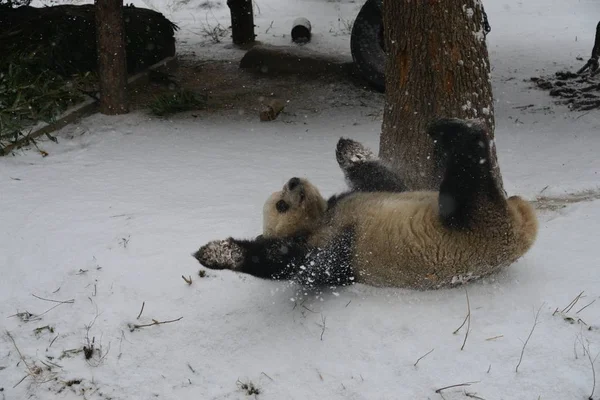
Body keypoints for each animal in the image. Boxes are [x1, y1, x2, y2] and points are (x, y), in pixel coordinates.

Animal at [195, 117, 540, 290]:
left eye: (282, 192)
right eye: (282, 204)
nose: (293, 181)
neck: (323, 217)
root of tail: (523, 228)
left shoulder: (360, 198)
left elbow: (385, 181)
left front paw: (351, 151)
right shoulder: (334, 246)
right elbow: (295, 265)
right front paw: (216, 252)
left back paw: (447, 128)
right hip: (476, 227)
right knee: (467, 182)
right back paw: (460, 132)